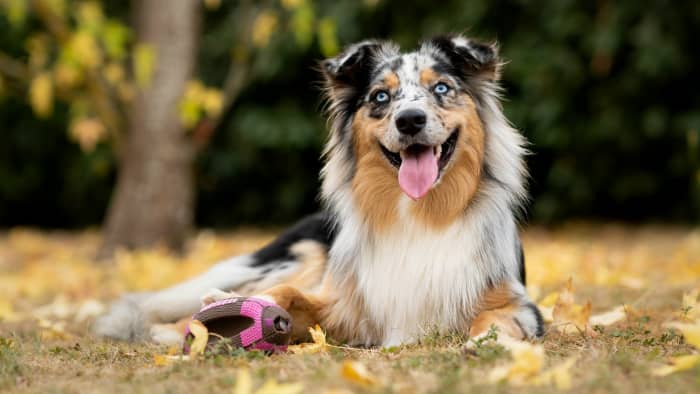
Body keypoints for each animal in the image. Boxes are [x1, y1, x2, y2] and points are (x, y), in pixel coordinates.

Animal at [97, 34, 548, 348]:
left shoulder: (516, 302)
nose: (409, 120)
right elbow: (290, 296)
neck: (419, 213)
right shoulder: (342, 303)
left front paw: (490, 342)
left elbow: (498, 320)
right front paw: (230, 308)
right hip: (297, 256)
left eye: (440, 88)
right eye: (380, 96)